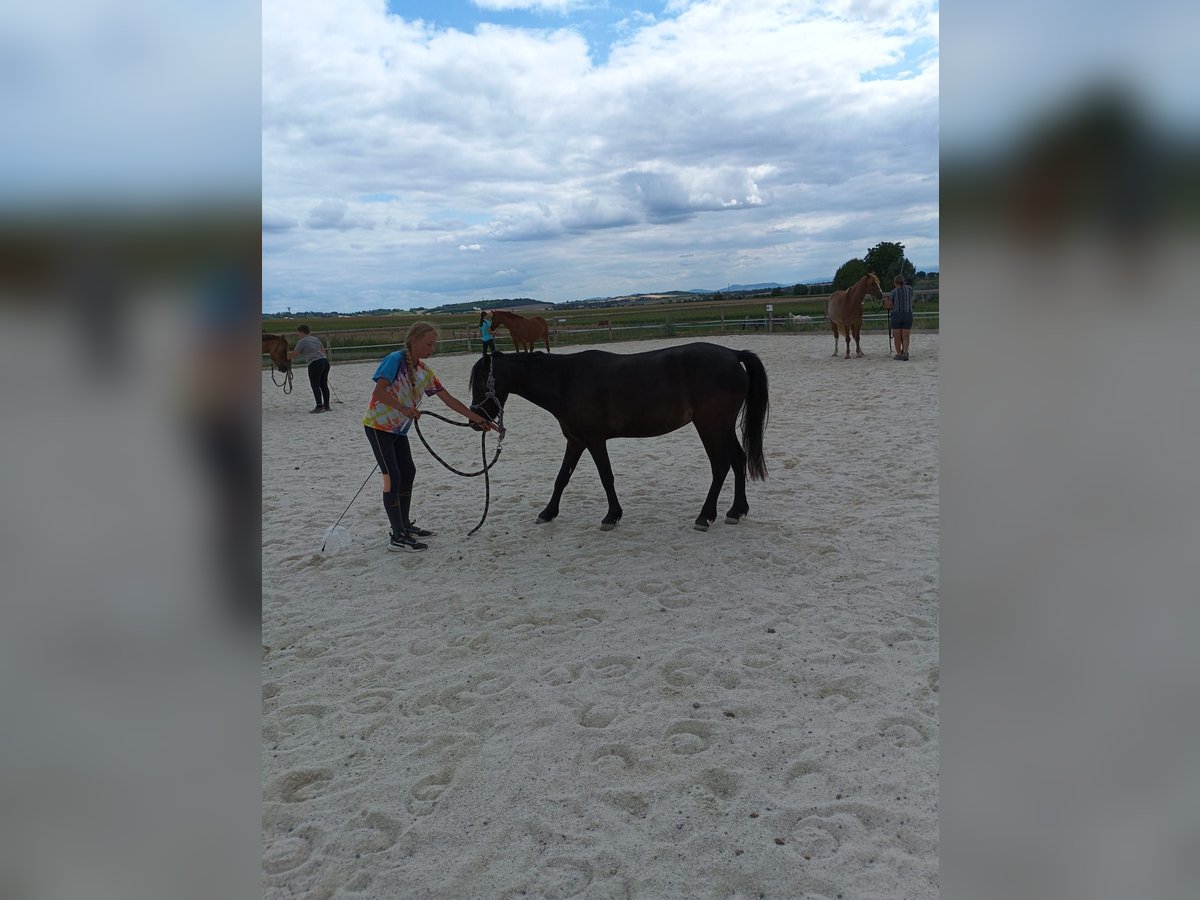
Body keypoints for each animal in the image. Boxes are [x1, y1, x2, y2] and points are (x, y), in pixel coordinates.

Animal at [468, 343, 768, 532]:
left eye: (482, 382)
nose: (475, 420)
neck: (566, 380)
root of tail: (733, 355)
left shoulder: (594, 440)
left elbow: (606, 477)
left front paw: (611, 517)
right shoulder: (575, 441)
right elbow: (562, 478)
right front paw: (547, 512)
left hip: (710, 427)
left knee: (720, 466)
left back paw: (705, 517)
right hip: (722, 427)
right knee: (739, 461)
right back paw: (736, 511)